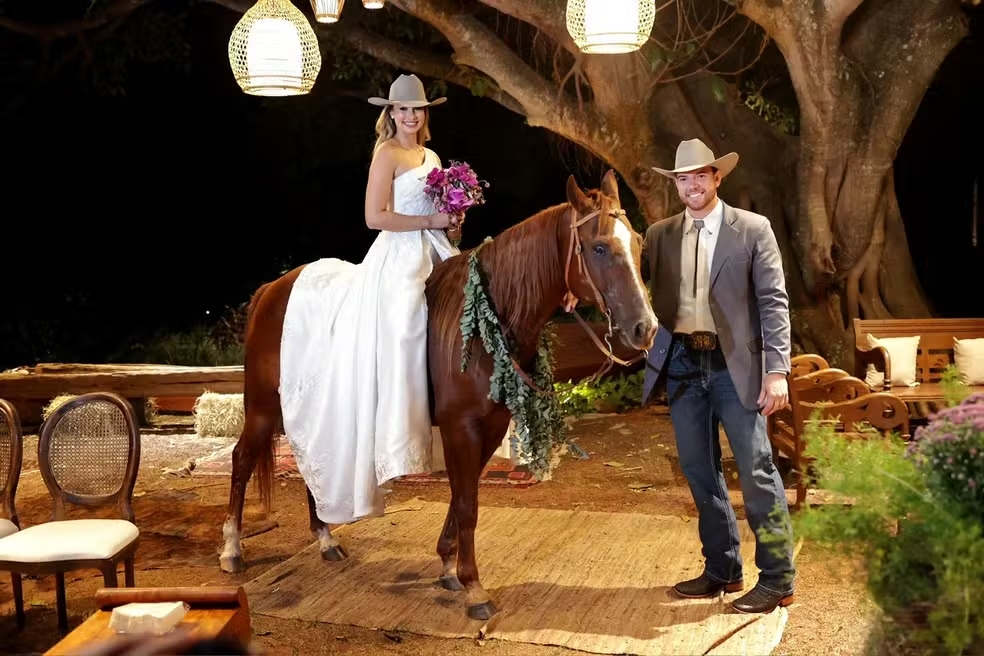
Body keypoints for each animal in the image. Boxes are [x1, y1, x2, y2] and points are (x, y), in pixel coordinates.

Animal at [219, 170, 656, 620]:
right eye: (599, 247)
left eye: (638, 241)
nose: (646, 328)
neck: (485, 320)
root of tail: (272, 288)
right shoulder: (459, 426)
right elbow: (466, 503)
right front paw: (473, 586)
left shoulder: (491, 425)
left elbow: (465, 494)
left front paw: (448, 564)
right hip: (262, 408)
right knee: (242, 460)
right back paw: (233, 549)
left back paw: (326, 537)